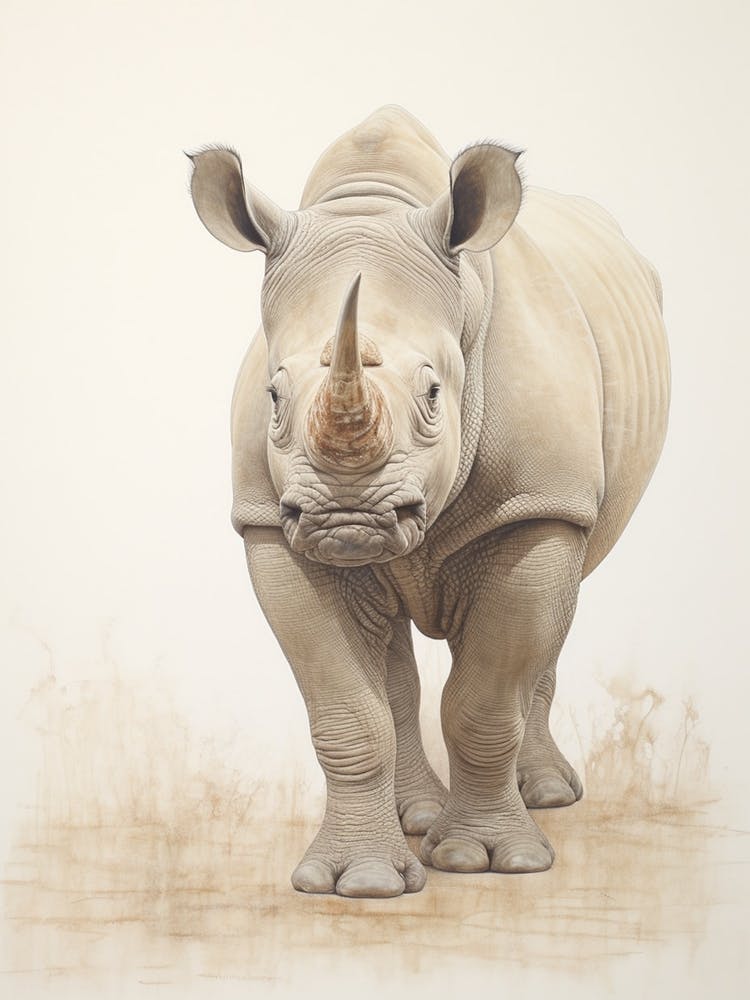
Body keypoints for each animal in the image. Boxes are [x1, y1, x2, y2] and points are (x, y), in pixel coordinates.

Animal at [188, 106, 670, 898]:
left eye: (436, 393)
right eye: (274, 397)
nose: (345, 517)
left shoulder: (537, 502)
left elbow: (487, 698)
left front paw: (489, 862)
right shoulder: (270, 524)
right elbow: (348, 711)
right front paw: (359, 883)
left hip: (568, 494)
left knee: (559, 607)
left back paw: (544, 798)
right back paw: (414, 818)